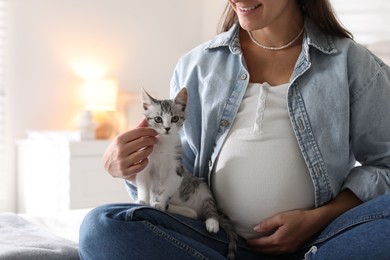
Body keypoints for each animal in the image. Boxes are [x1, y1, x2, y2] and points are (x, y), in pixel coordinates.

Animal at [135, 88, 238, 260]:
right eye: (158, 119)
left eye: (175, 118)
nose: (167, 128)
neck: (164, 145)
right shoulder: (145, 163)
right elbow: (143, 185)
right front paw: (143, 200)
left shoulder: (177, 171)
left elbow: (166, 189)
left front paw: (159, 203)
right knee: (194, 214)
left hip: (203, 187)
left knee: (209, 209)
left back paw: (212, 223)